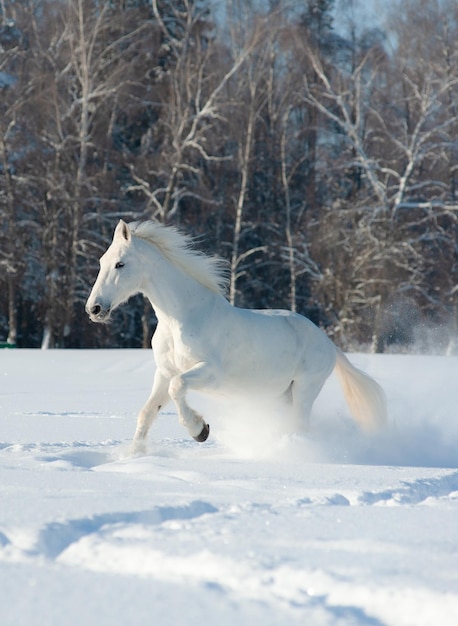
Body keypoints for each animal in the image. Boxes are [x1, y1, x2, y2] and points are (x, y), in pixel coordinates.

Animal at [86, 218, 386, 448]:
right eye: (102, 261)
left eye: (120, 264)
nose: (94, 308)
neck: (181, 319)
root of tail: (327, 342)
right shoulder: (164, 372)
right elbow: (147, 412)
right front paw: (132, 458)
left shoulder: (209, 373)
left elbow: (178, 387)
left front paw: (200, 430)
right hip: (282, 395)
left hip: (305, 389)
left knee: (301, 426)